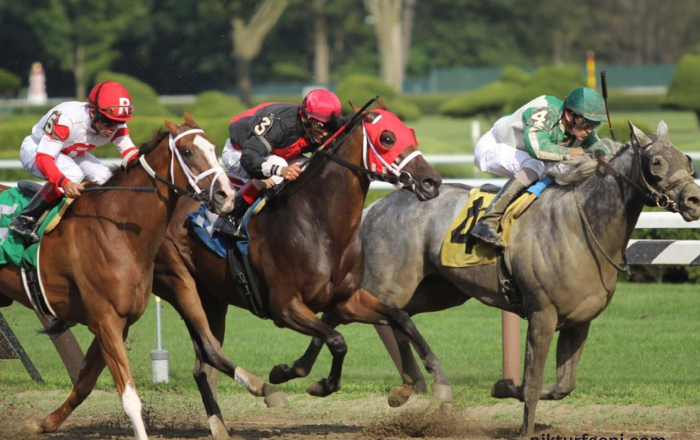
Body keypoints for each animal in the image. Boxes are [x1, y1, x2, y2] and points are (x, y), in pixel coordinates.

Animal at [0, 114, 237, 440]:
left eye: (214, 148)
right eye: (187, 152)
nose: (227, 195)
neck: (118, 229)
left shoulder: (117, 324)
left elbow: (84, 383)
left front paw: (41, 424)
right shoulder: (106, 320)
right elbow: (129, 397)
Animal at [153, 107, 448, 440]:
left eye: (410, 133)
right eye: (387, 138)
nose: (431, 182)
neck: (318, 223)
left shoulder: (347, 300)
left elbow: (400, 317)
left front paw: (432, 380)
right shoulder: (285, 308)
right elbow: (337, 341)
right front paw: (312, 381)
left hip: (213, 299)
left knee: (203, 365)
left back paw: (221, 426)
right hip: (179, 284)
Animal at [270, 120, 700, 436]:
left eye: (687, 159)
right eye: (656, 162)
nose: (694, 200)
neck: (583, 225)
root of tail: (378, 205)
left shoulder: (579, 321)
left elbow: (561, 386)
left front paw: (503, 386)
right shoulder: (542, 314)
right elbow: (532, 382)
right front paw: (521, 420)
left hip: (437, 291)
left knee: (394, 318)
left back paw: (401, 387)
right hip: (388, 281)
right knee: (347, 315)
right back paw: (299, 374)